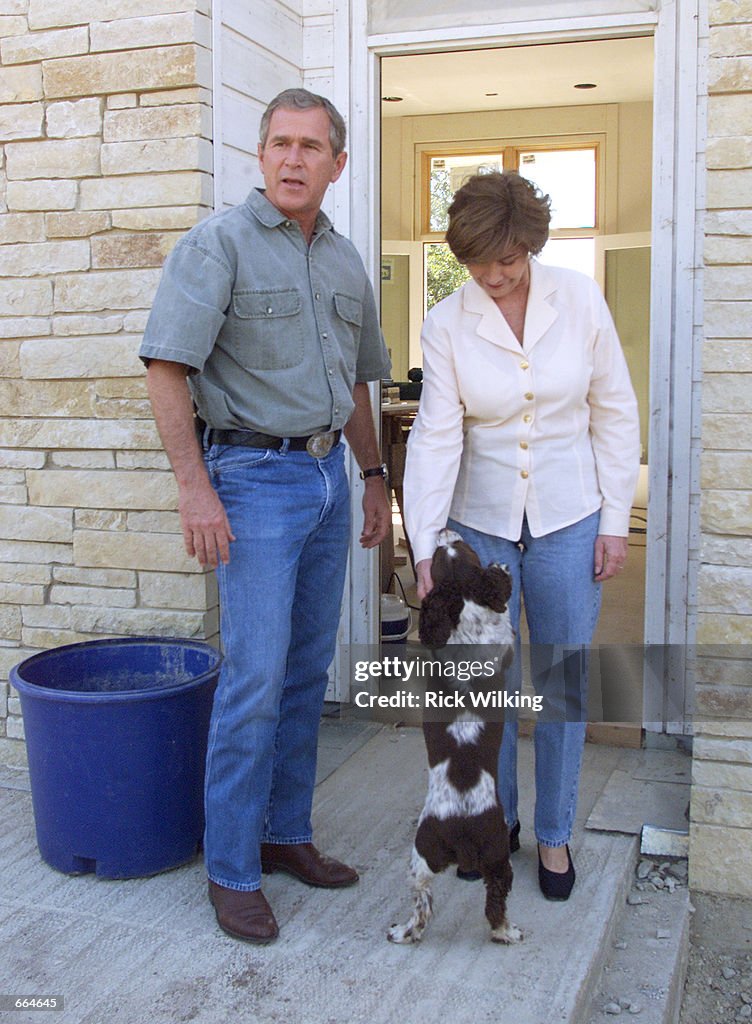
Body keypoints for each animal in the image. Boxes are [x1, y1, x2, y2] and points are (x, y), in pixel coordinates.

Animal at [389, 532, 524, 946]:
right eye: (463, 550)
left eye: (443, 555)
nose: (446, 531)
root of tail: (462, 826)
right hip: (498, 857)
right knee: (494, 900)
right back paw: (506, 931)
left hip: (422, 855)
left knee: (422, 900)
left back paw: (403, 931)